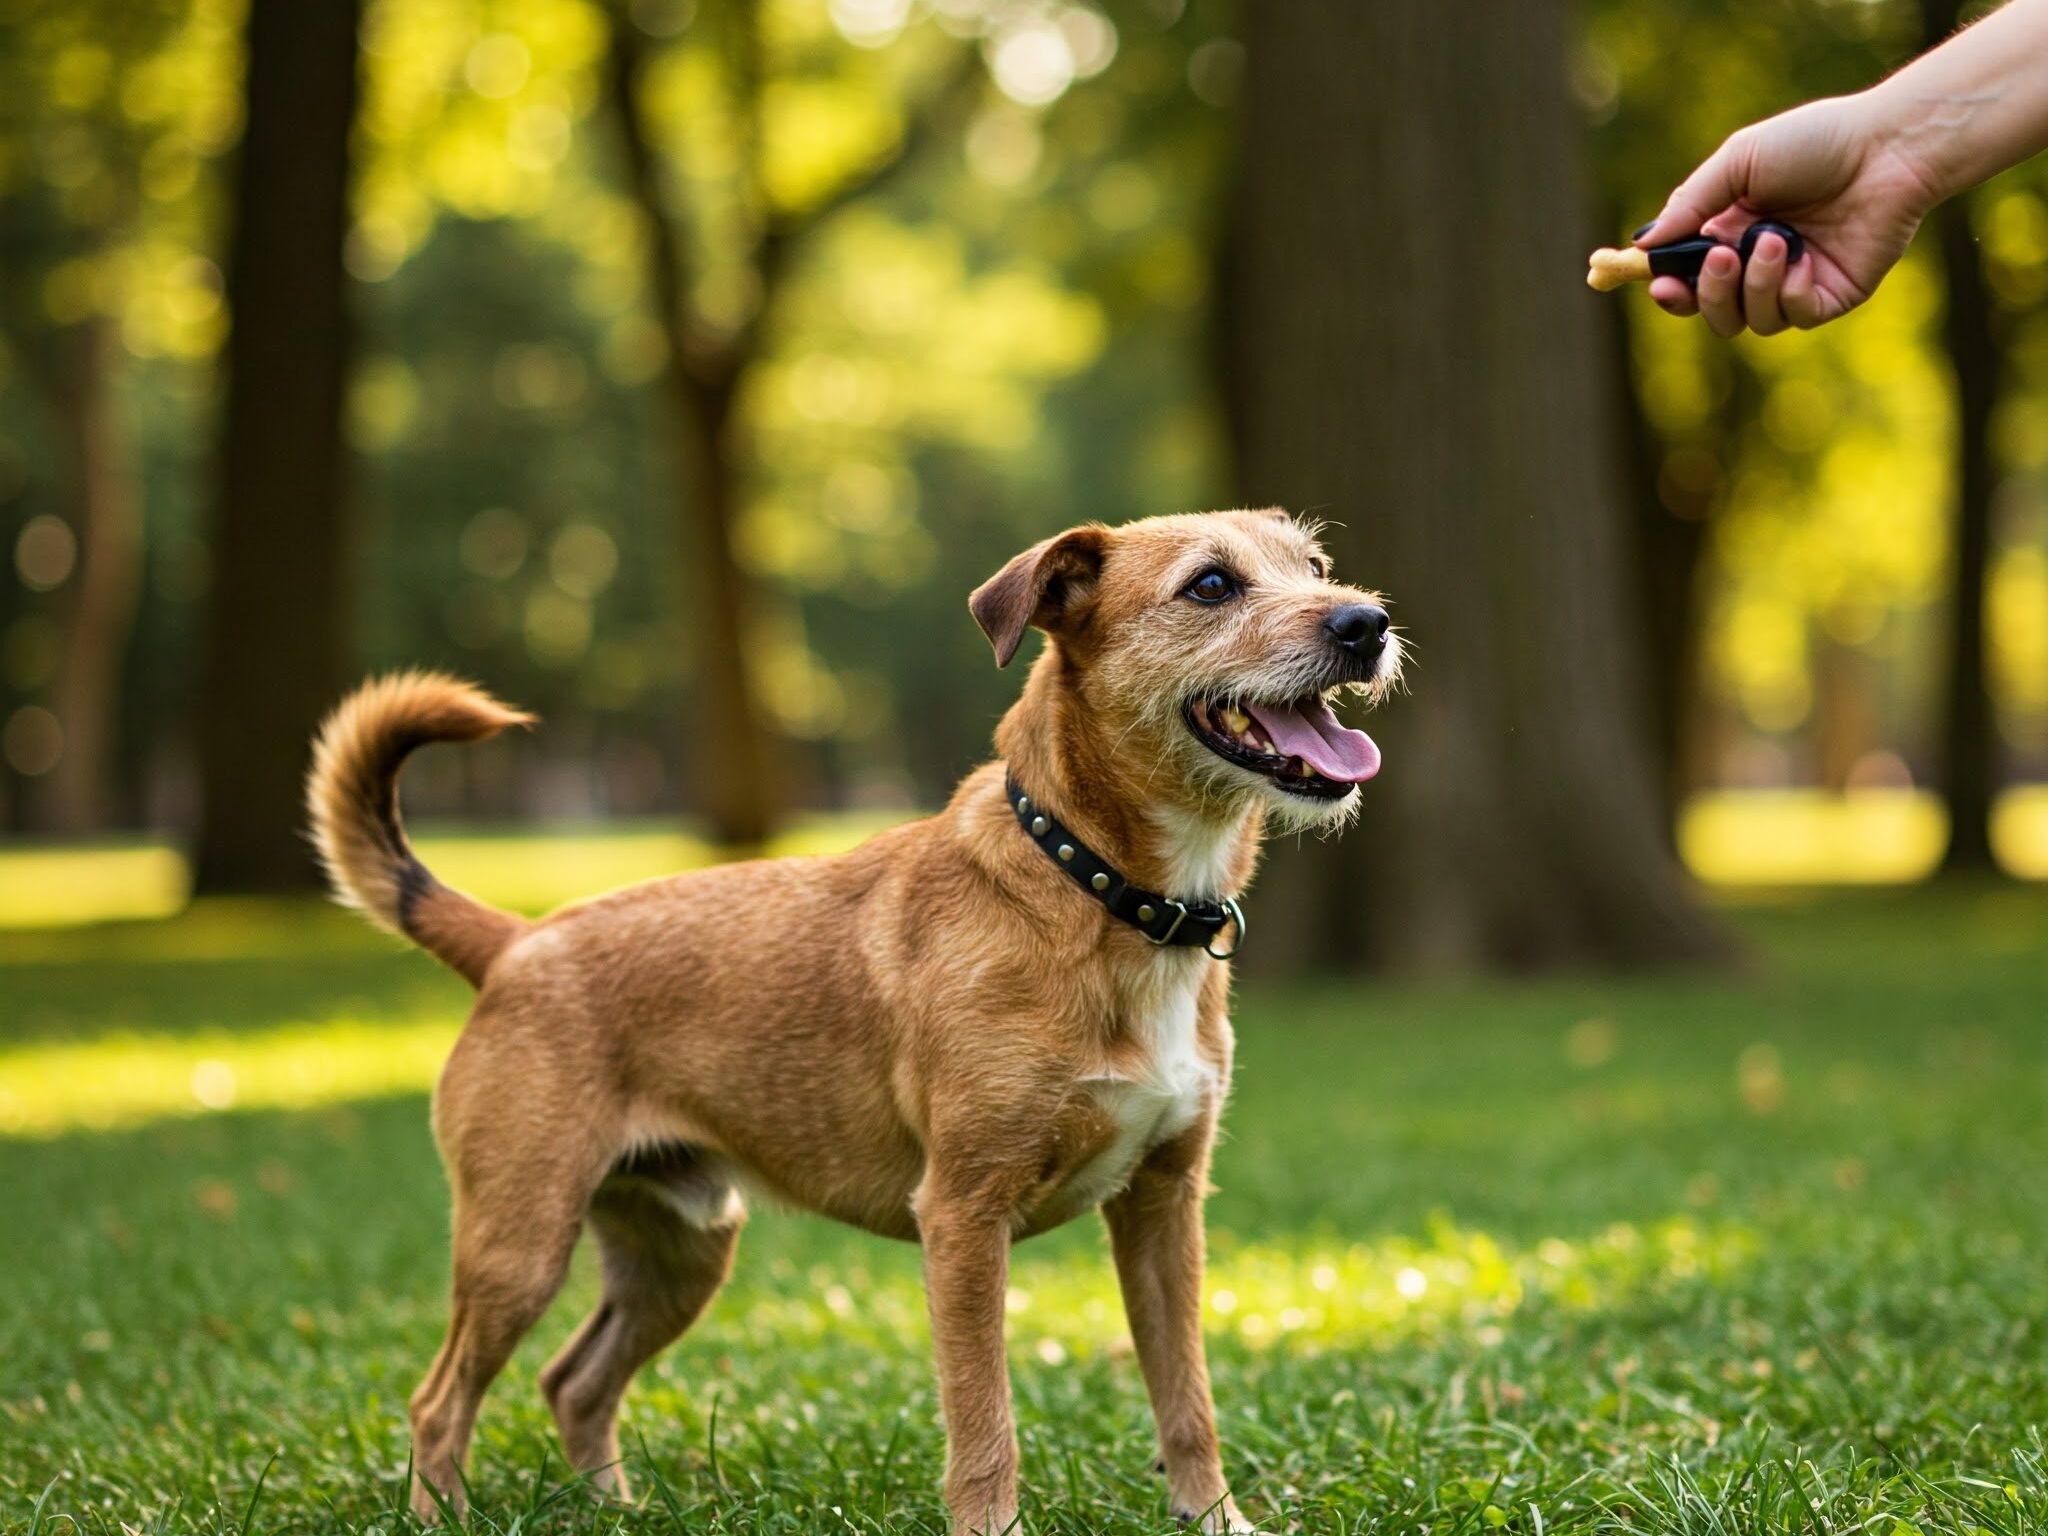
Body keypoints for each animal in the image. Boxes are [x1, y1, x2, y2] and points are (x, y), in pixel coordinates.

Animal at [303, 505, 1400, 1531]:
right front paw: (992, 1526)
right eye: (1210, 585)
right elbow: (985, 1418)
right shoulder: (963, 1217)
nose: (1365, 623)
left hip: (680, 1251)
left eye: (1314, 567)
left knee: (571, 1381)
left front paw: (1215, 1520)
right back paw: (444, 1513)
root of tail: (517, 943)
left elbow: (1187, 1399)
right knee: (439, 1401)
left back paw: (617, 1509)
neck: (1097, 889)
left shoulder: (1165, 1207)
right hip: (518, 1248)